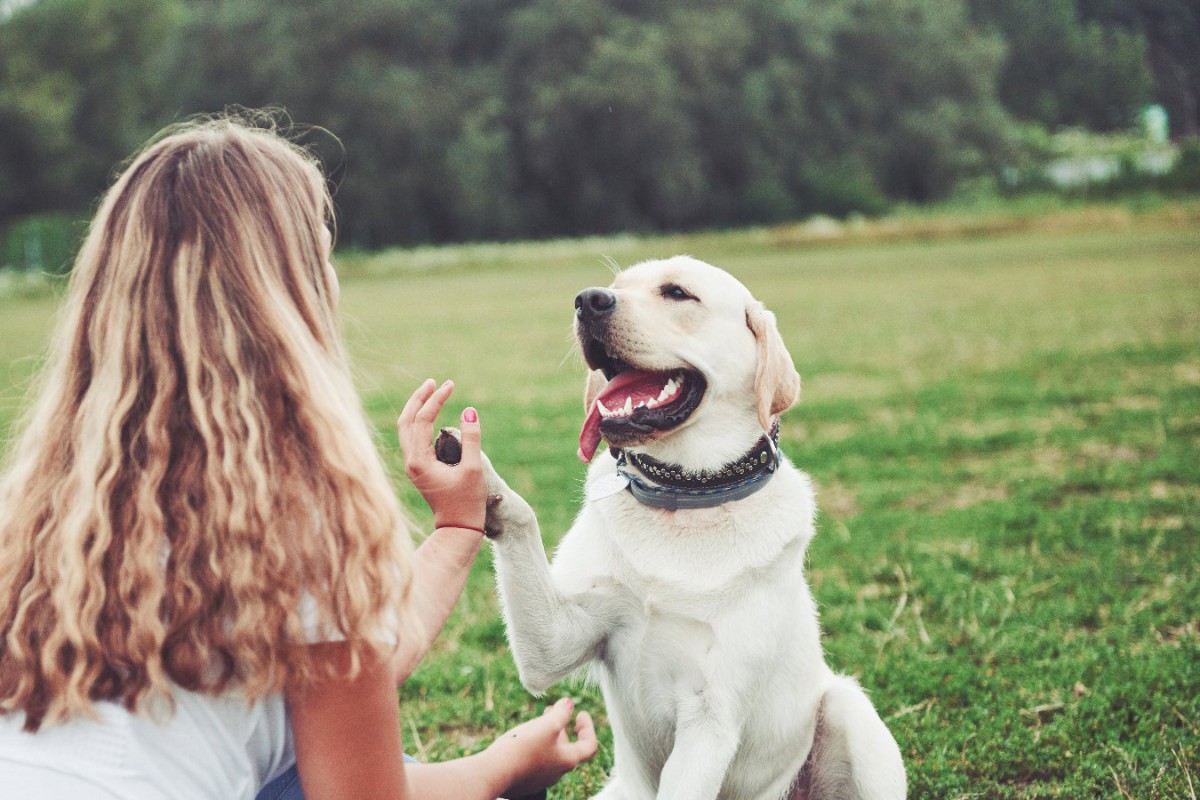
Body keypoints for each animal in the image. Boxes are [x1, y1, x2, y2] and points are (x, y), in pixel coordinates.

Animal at [477, 257, 902, 800]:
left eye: (678, 293)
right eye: (614, 287)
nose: (587, 299)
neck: (684, 498)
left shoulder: (710, 720)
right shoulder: (554, 643)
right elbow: (520, 519)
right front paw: (472, 469)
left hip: (850, 709)